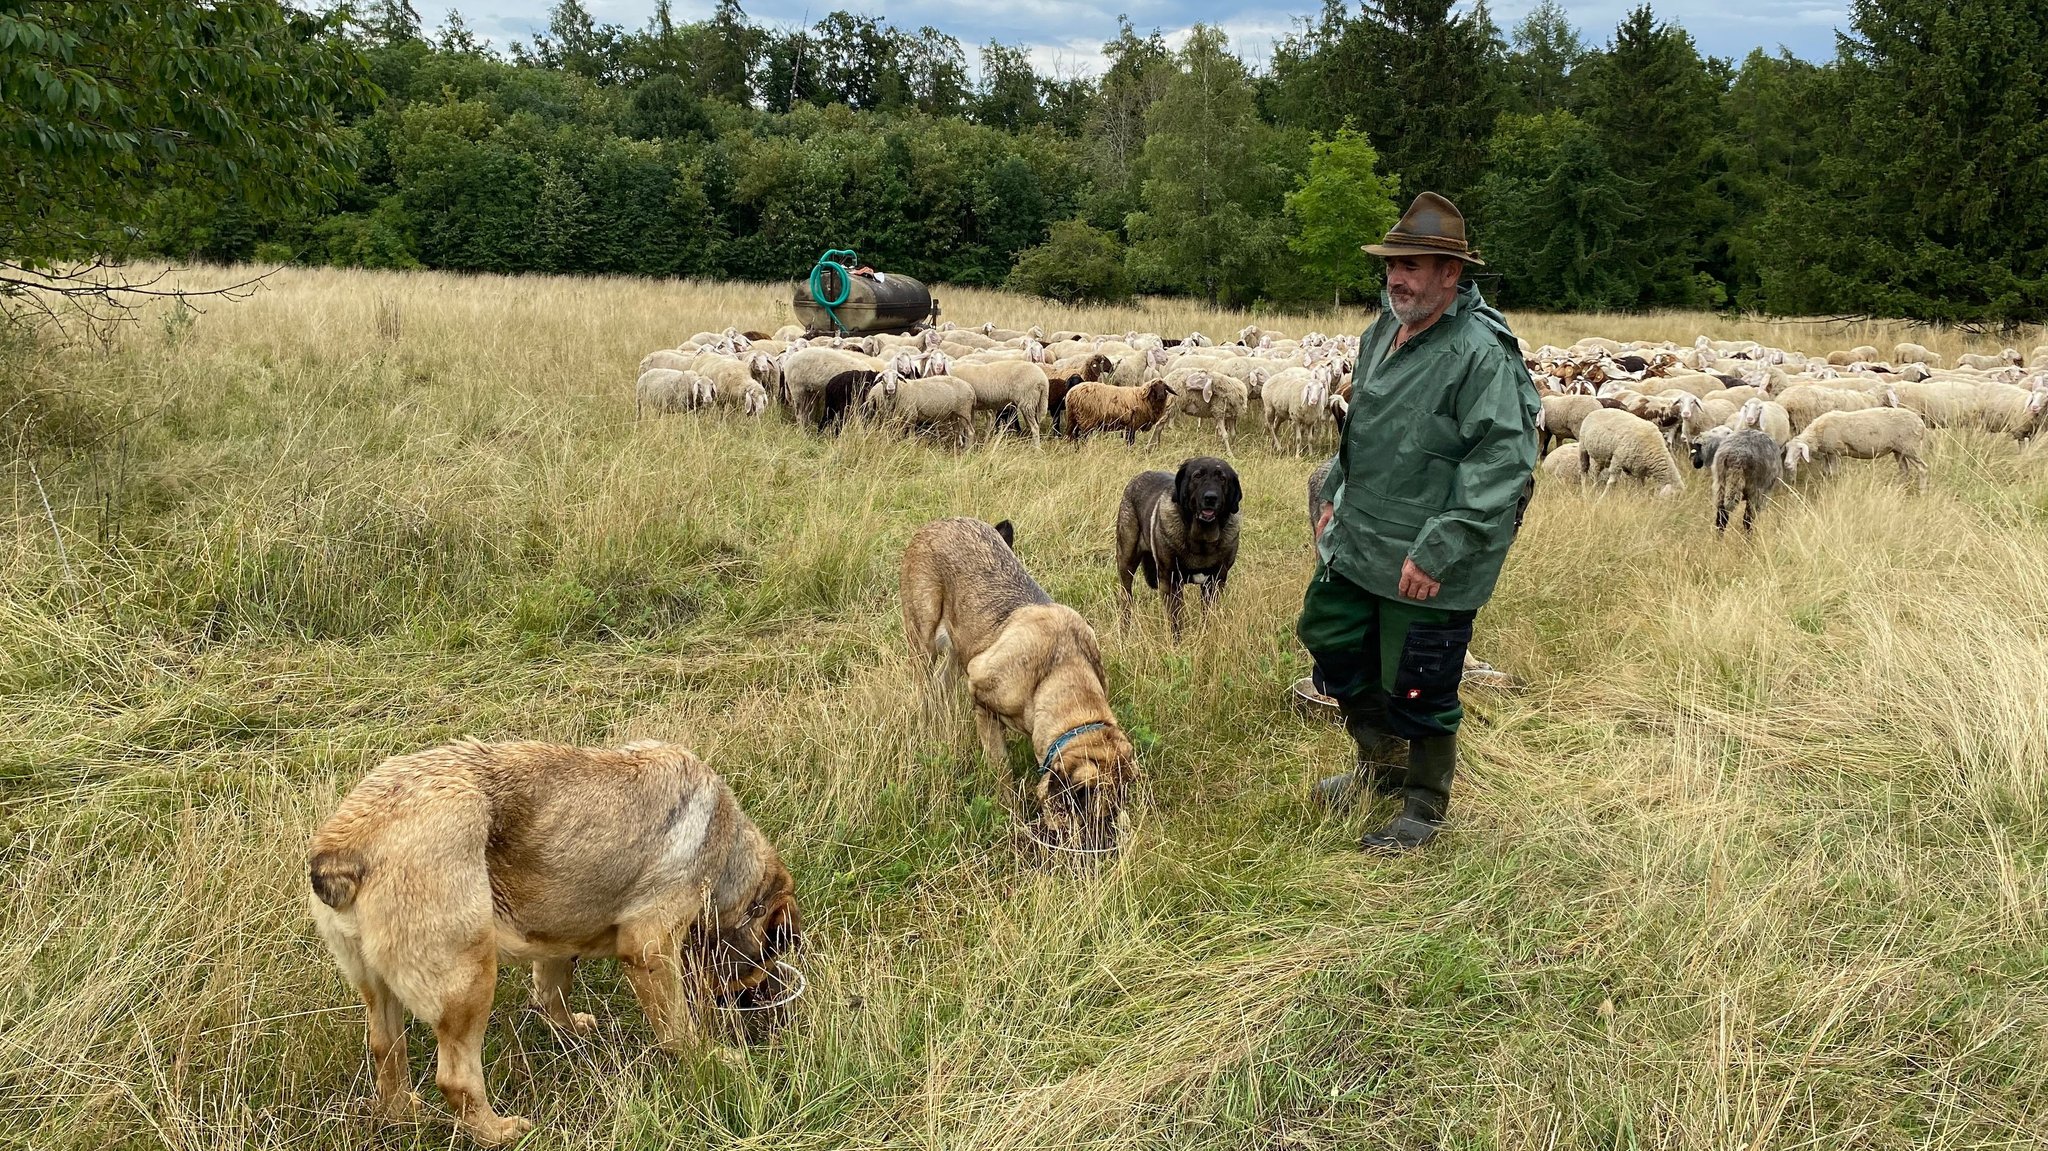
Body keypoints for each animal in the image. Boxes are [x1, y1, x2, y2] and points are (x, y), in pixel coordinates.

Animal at [307, 737, 794, 1138]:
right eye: (769, 958)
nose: (771, 1004)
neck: (729, 856)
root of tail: (343, 846)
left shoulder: (559, 939)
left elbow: (552, 989)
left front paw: (567, 1027)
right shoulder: (650, 948)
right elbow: (678, 1028)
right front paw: (708, 1057)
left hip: (381, 993)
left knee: (385, 1050)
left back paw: (402, 1114)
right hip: (469, 985)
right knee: (457, 1081)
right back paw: (498, 1132)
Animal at [905, 516, 1146, 847]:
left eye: (1111, 818)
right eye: (1089, 821)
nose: (1105, 849)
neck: (1058, 672)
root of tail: (939, 522)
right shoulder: (981, 699)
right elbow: (1002, 770)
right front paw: (1008, 813)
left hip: (960, 647)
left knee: (939, 685)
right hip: (924, 640)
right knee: (923, 687)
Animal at [1114, 456, 1236, 630]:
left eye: (1222, 478)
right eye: (1197, 476)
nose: (1210, 498)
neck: (1201, 539)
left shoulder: (1215, 582)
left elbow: (1207, 617)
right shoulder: (1171, 581)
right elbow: (1175, 620)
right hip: (1127, 562)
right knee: (1126, 597)